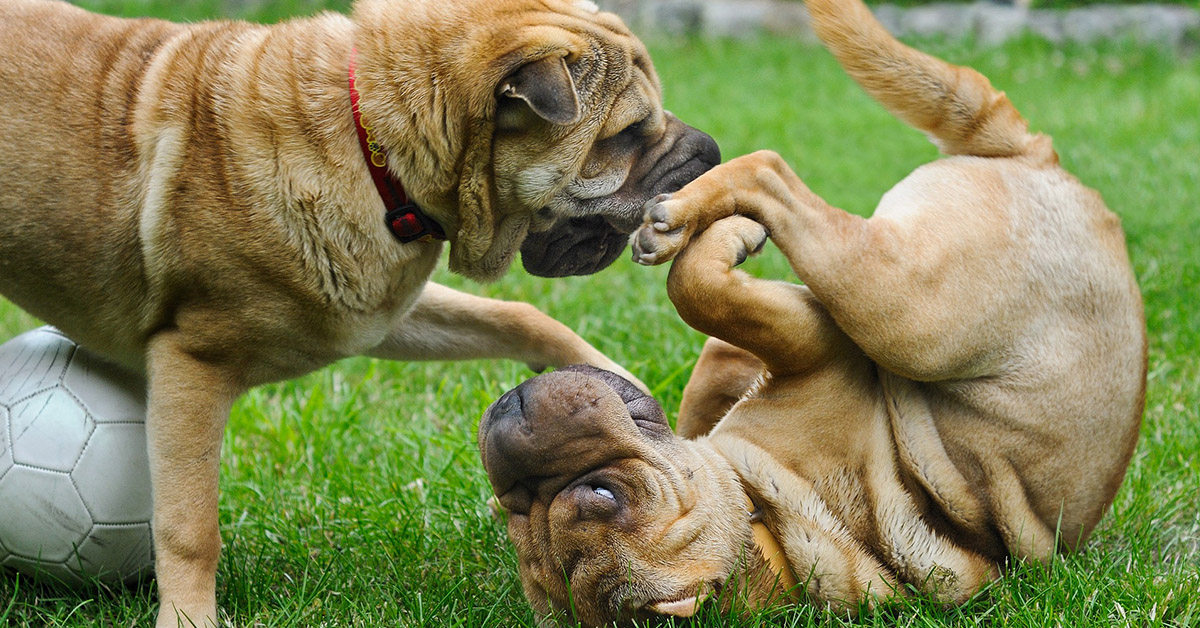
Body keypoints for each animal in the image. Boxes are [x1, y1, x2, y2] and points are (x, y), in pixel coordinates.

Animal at [477, 0, 1142, 624]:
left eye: (603, 495)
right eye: (517, 507)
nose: (512, 412)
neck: (766, 527)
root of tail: (1038, 157)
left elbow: (702, 303)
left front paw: (726, 241)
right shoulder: (810, 345)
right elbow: (697, 286)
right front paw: (729, 237)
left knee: (769, 176)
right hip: (905, 308)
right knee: (772, 173)